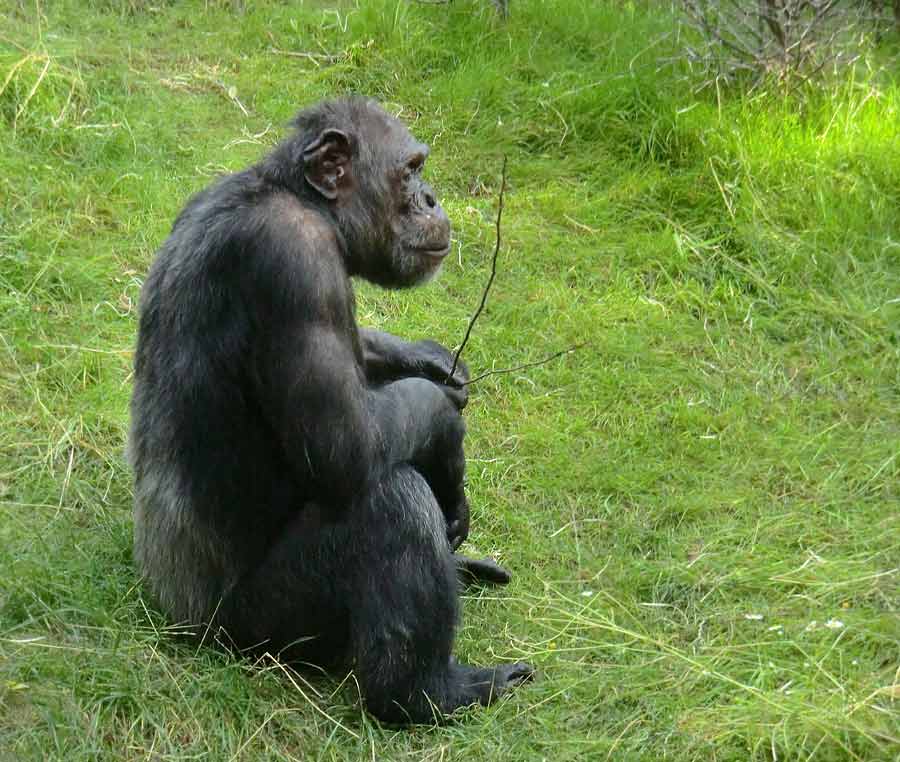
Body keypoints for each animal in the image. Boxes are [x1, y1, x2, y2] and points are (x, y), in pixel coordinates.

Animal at [128, 96, 536, 724]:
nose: (430, 198)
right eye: (410, 170)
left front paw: (432, 361)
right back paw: (425, 692)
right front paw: (447, 431)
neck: (300, 200)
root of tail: (175, 612)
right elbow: (345, 445)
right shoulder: (294, 265)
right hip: (263, 627)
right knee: (390, 498)